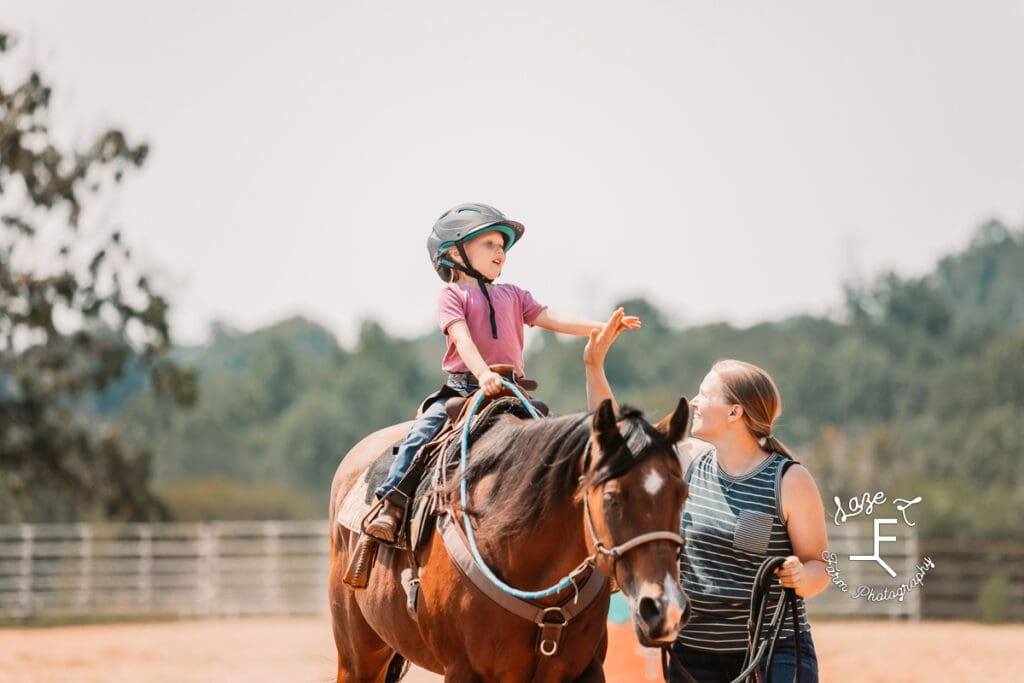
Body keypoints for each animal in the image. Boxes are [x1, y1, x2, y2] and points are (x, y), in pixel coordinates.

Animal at [327, 397, 692, 679]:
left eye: (682, 494)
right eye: (612, 497)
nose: (665, 608)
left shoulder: (586, 669)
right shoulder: (463, 670)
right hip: (357, 657)